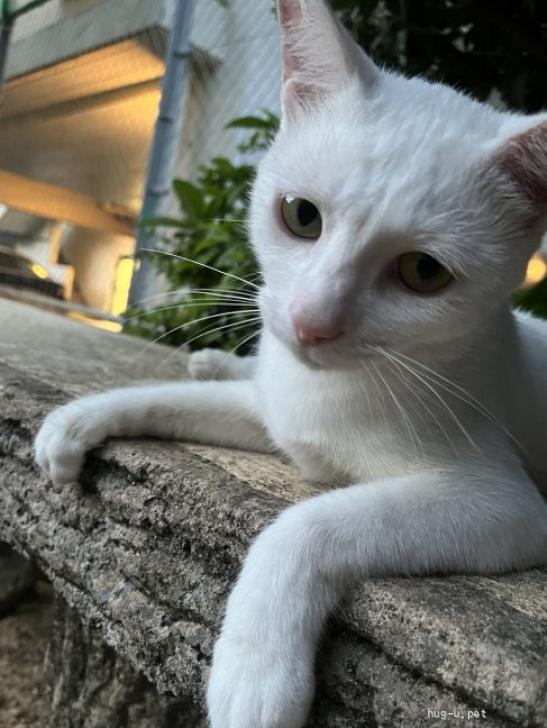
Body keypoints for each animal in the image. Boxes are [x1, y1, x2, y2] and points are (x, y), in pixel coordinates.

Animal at [35, 1, 547, 726]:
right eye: (301, 216)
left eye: (424, 273)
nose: (311, 321)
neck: (328, 390)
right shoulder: (277, 414)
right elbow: (166, 396)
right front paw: (77, 421)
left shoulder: (504, 504)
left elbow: (307, 526)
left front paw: (254, 673)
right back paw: (213, 361)